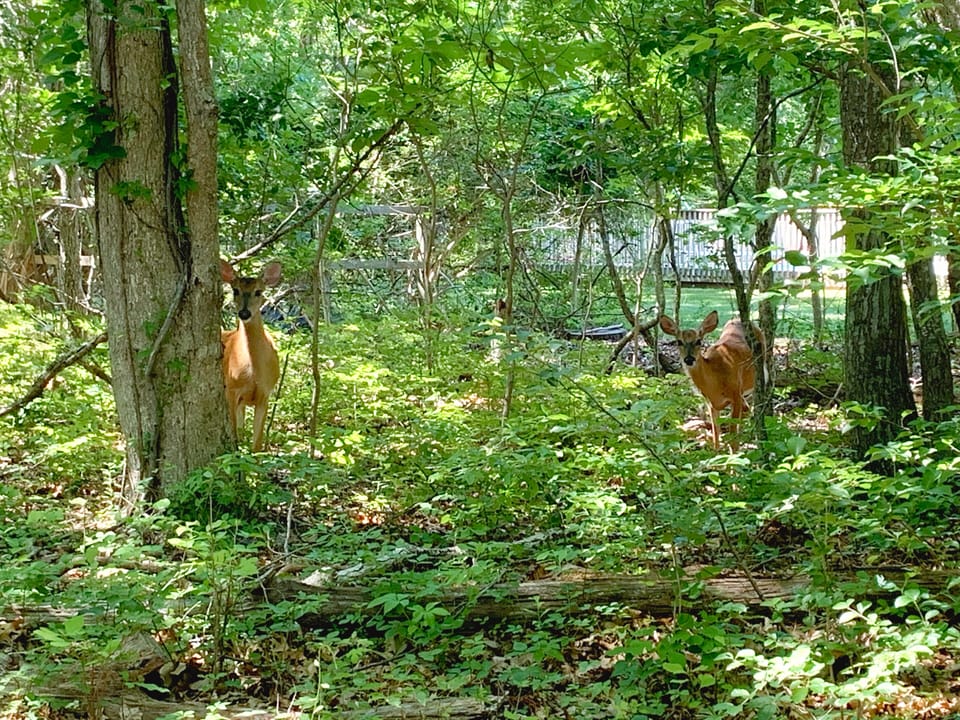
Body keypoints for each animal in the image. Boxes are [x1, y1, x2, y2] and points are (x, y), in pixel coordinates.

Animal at [220, 260, 281, 452]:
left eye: (258, 291)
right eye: (235, 290)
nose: (244, 313)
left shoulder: (265, 393)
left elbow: (257, 444)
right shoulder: (231, 390)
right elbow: (235, 437)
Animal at [658, 310, 764, 450]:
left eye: (698, 341)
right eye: (679, 342)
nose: (689, 359)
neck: (715, 382)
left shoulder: (735, 394)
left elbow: (732, 438)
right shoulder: (711, 404)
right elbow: (716, 438)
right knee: (746, 410)